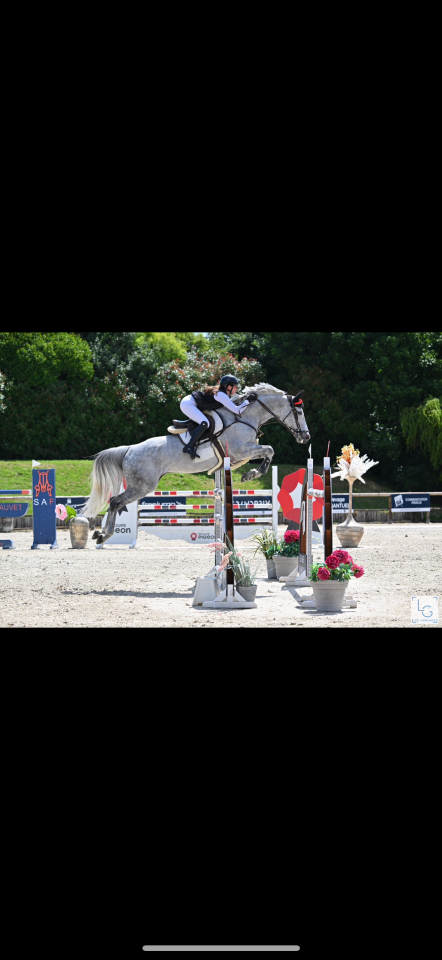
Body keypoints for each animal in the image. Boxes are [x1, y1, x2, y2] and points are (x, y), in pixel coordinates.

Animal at [81, 383, 310, 545]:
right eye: (299, 413)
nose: (306, 437)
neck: (244, 417)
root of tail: (129, 449)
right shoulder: (242, 450)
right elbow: (269, 449)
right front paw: (252, 474)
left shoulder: (240, 455)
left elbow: (266, 451)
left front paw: (250, 473)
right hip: (142, 486)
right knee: (115, 502)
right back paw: (103, 535)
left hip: (140, 485)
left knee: (116, 502)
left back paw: (102, 535)